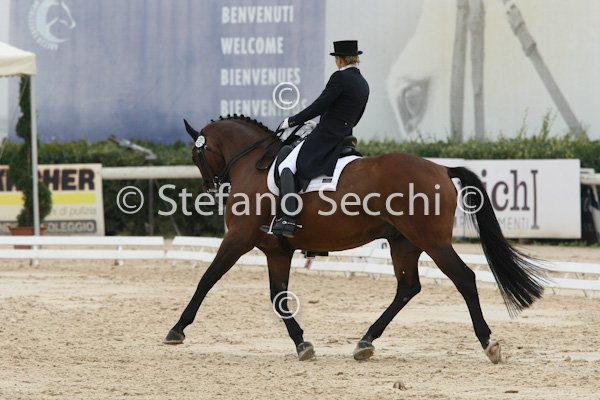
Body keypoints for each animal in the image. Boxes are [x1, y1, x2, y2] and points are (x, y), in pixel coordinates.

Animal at [163, 114, 545, 363]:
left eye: (196, 155)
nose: (211, 187)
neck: (254, 164)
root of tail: (440, 167)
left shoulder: (238, 239)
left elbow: (207, 279)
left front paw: (177, 330)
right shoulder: (277, 251)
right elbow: (279, 298)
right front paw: (303, 345)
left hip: (432, 242)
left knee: (463, 278)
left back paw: (489, 343)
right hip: (403, 242)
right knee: (407, 288)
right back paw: (365, 342)